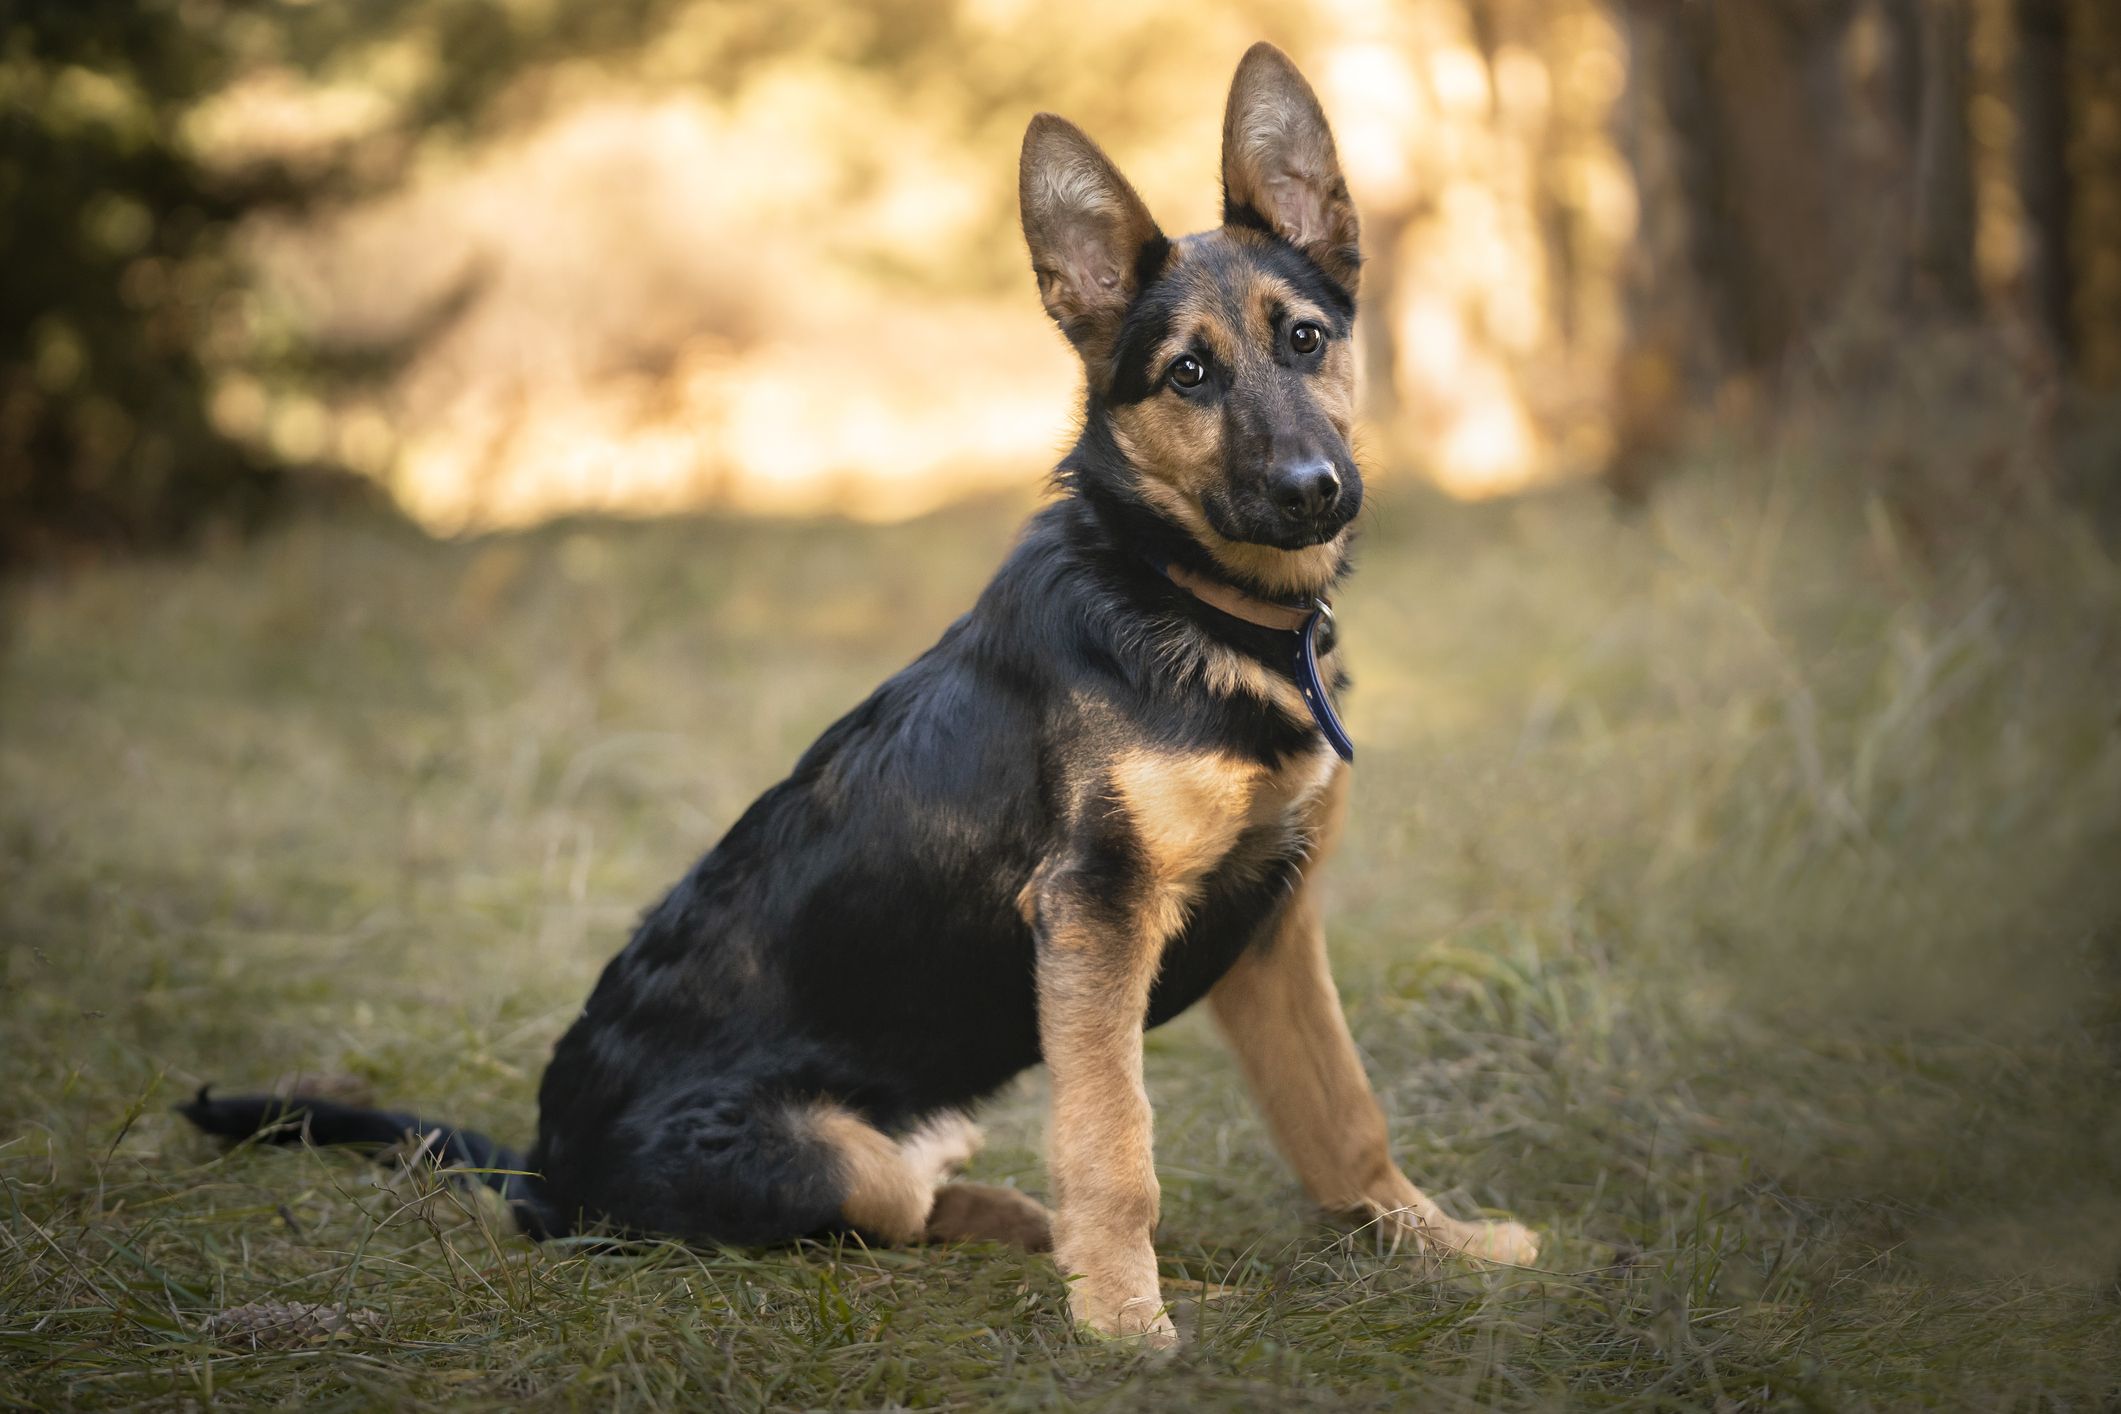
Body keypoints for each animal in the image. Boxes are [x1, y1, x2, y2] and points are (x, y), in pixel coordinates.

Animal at [182, 41, 1544, 1348]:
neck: (1186, 596)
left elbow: (1342, 1114)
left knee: (942, 1197)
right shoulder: (1098, 913)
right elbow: (1117, 1146)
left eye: (1305, 338)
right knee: (887, 1219)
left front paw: (1439, 1246)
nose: (1317, 490)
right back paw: (1108, 1268)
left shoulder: (1274, 923)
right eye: (1189, 375)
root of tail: (542, 1170)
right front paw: (1125, 1324)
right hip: (829, 1152)